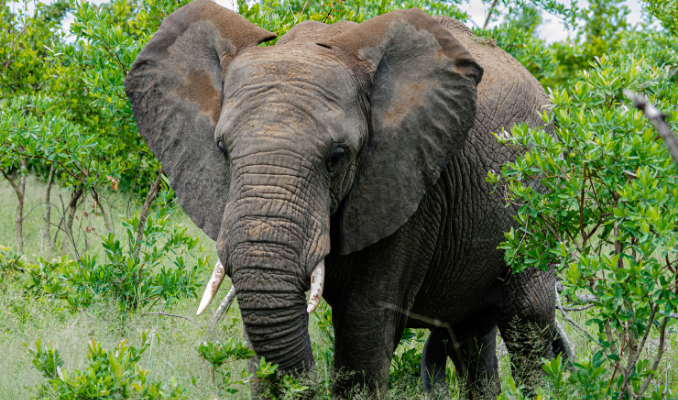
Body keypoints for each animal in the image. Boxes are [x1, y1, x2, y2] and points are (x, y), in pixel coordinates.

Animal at [126, 1, 564, 396]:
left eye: (337, 158)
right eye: (222, 150)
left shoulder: (405, 185)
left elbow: (363, 330)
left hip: (540, 203)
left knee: (528, 325)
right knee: (469, 338)